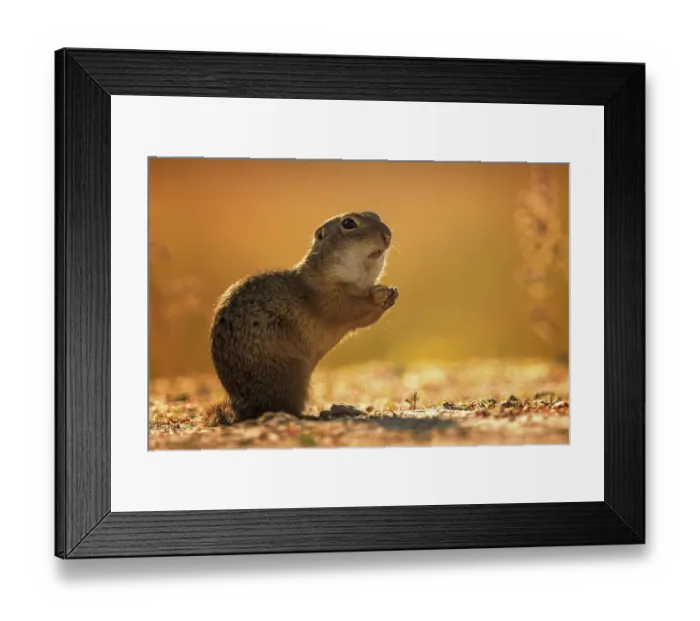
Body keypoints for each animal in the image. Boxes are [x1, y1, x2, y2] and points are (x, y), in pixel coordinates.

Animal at [210, 211, 398, 422]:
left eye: (376, 215)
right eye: (348, 223)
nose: (387, 235)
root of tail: (241, 407)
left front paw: (391, 293)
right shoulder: (328, 299)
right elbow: (352, 309)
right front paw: (379, 295)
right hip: (291, 373)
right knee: (284, 408)